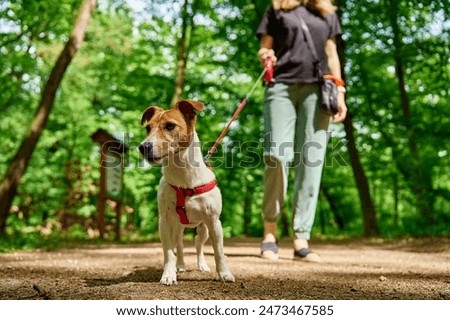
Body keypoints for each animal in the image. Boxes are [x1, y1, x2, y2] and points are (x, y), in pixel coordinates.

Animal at [138, 98, 236, 284]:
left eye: (170, 126)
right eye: (148, 128)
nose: (143, 147)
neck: (183, 178)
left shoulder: (214, 222)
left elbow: (219, 252)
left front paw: (225, 273)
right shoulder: (164, 222)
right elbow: (169, 252)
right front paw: (169, 274)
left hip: (204, 229)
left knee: (198, 245)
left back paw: (202, 265)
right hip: (177, 227)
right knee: (180, 245)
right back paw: (180, 265)